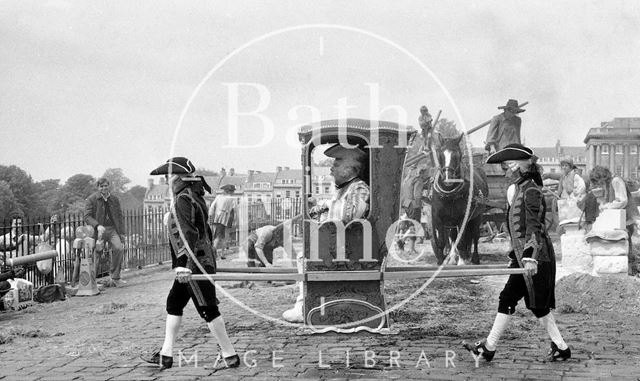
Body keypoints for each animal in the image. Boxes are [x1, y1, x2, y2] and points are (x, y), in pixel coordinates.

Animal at [430, 134, 490, 264]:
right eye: (440, 154)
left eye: (457, 155)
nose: (448, 178)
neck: (449, 195)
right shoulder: (438, 217)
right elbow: (441, 241)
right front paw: (441, 261)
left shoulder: (462, 218)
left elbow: (461, 241)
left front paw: (462, 261)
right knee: (453, 237)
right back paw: (453, 258)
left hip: (477, 216)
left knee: (475, 236)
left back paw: (474, 258)